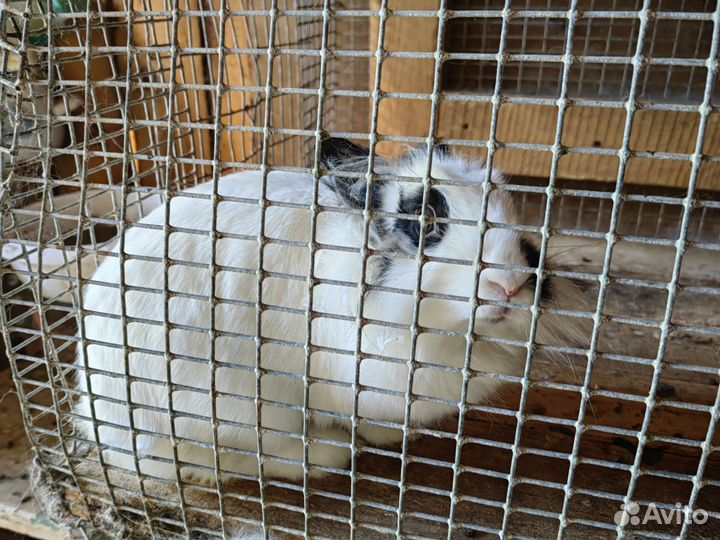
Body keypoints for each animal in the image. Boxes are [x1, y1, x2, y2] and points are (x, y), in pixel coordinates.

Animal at [71, 138, 588, 484]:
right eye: (423, 220)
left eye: (517, 218)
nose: (509, 285)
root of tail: (107, 421)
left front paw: (389, 438)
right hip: (238, 407)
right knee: (244, 456)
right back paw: (331, 455)